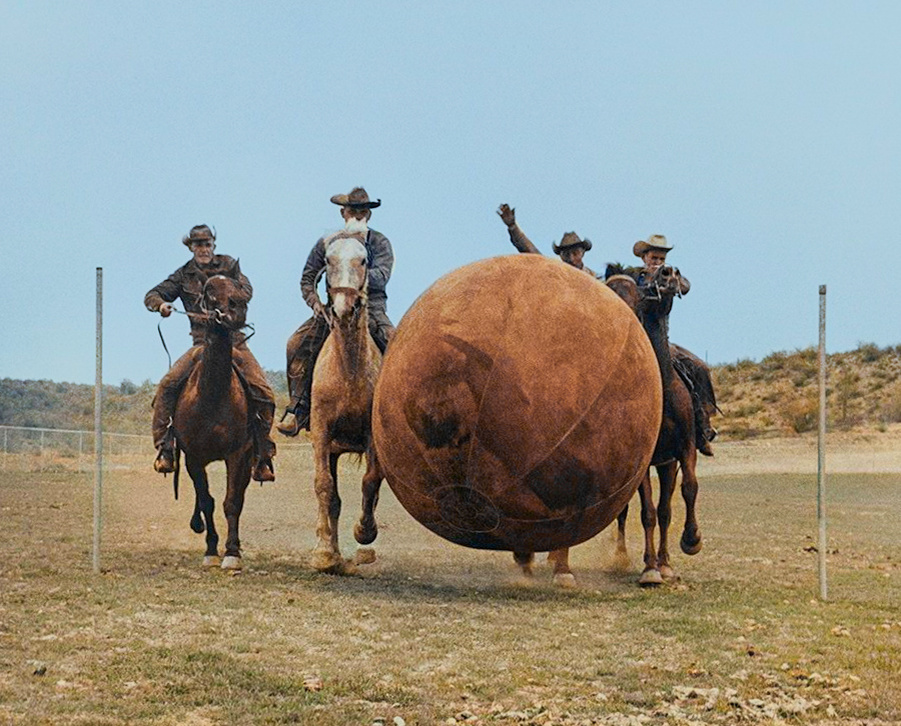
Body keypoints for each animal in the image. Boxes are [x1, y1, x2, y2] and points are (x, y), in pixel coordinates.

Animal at [172, 276, 256, 572]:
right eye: (209, 293)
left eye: (239, 291)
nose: (236, 310)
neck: (212, 395)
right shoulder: (193, 457)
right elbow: (207, 501)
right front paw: (210, 550)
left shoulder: (238, 454)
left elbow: (232, 502)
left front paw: (231, 553)